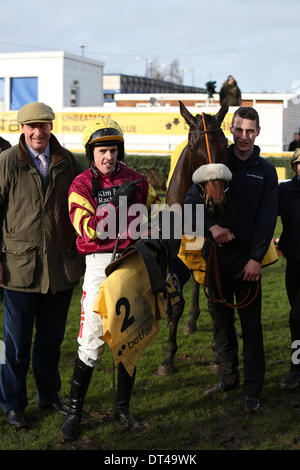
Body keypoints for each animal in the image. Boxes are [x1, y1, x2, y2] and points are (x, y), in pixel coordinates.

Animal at [155, 99, 230, 374]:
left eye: (225, 144)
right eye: (192, 148)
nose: (216, 202)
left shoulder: (211, 246)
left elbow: (214, 299)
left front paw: (219, 353)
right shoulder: (172, 250)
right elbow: (175, 303)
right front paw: (167, 359)